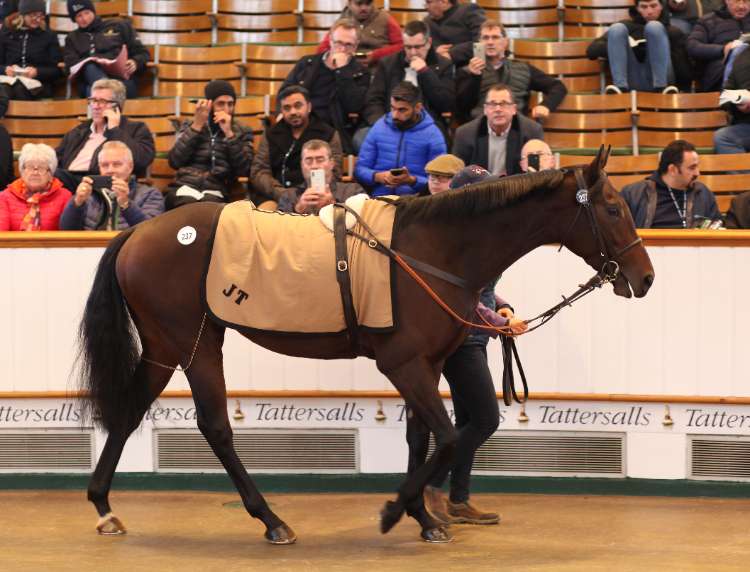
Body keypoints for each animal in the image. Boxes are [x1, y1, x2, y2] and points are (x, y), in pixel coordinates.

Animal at [77, 147, 654, 545]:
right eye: (611, 207)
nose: (644, 277)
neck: (430, 251)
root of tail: (138, 234)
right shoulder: (404, 365)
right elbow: (449, 437)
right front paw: (396, 510)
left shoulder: (428, 365)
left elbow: (424, 438)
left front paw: (424, 517)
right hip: (195, 344)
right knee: (215, 427)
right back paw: (271, 520)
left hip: (163, 348)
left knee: (129, 412)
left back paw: (103, 506)